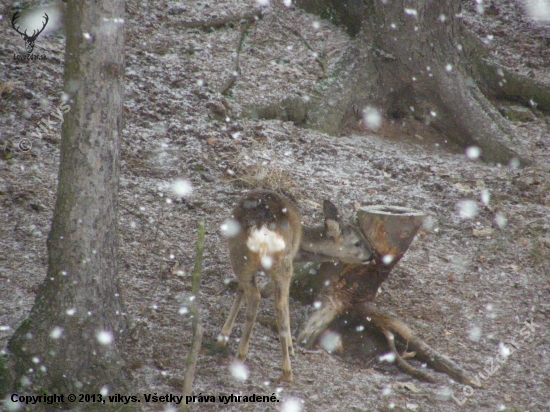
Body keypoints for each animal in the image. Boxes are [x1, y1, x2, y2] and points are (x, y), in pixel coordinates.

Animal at [218, 190, 374, 384]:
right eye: (358, 242)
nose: (372, 255)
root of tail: (262, 229)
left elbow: (241, 290)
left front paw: (223, 336)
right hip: (278, 262)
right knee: (277, 305)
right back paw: (285, 368)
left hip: (244, 257)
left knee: (259, 298)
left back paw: (244, 356)